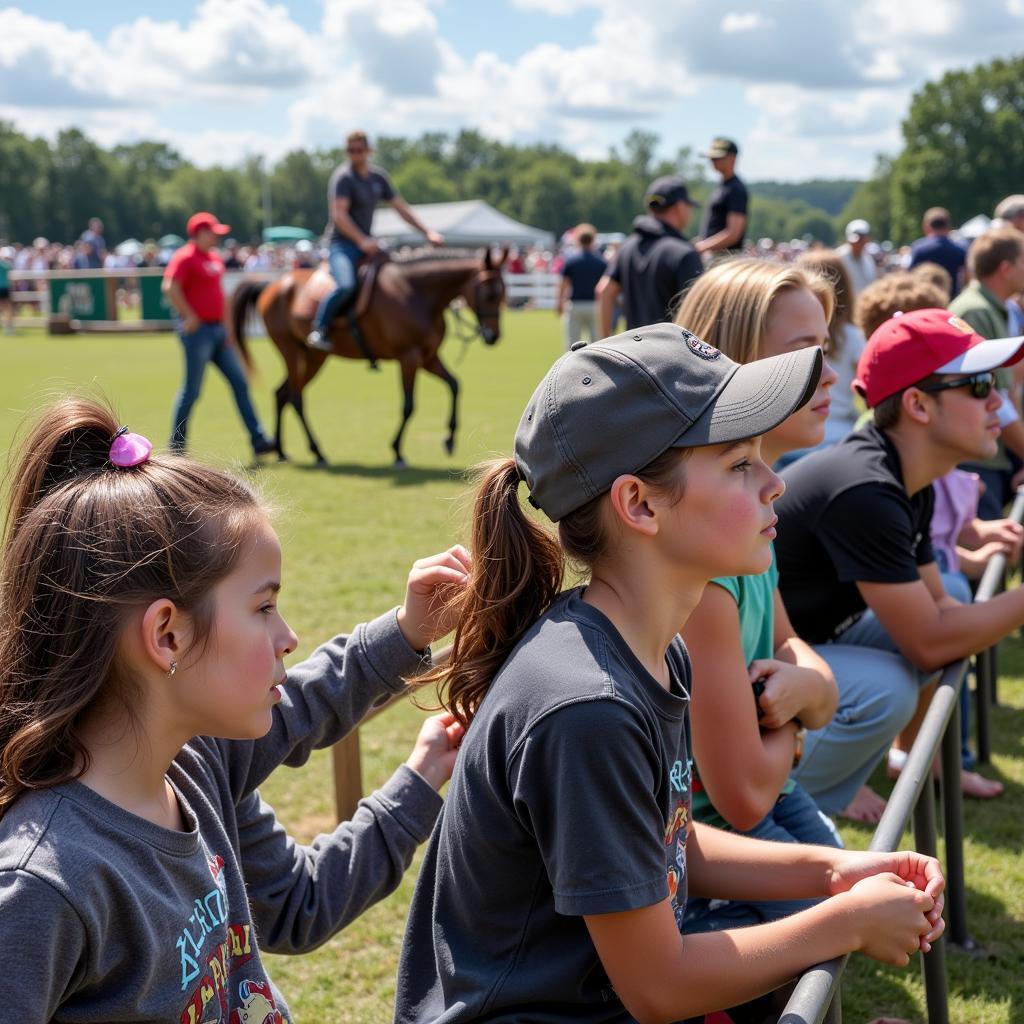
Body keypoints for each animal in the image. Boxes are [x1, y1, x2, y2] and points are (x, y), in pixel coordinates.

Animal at [230, 251, 505, 468]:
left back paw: (282, 451)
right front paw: (397, 451)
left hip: (314, 357)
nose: (494, 336)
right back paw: (317, 451)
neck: (415, 294)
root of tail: (274, 284)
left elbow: (455, 385)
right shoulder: (408, 357)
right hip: (291, 350)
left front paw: (449, 439)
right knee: (296, 398)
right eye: (489, 294)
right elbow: (409, 405)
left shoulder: (428, 357)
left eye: (503, 293)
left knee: (282, 393)